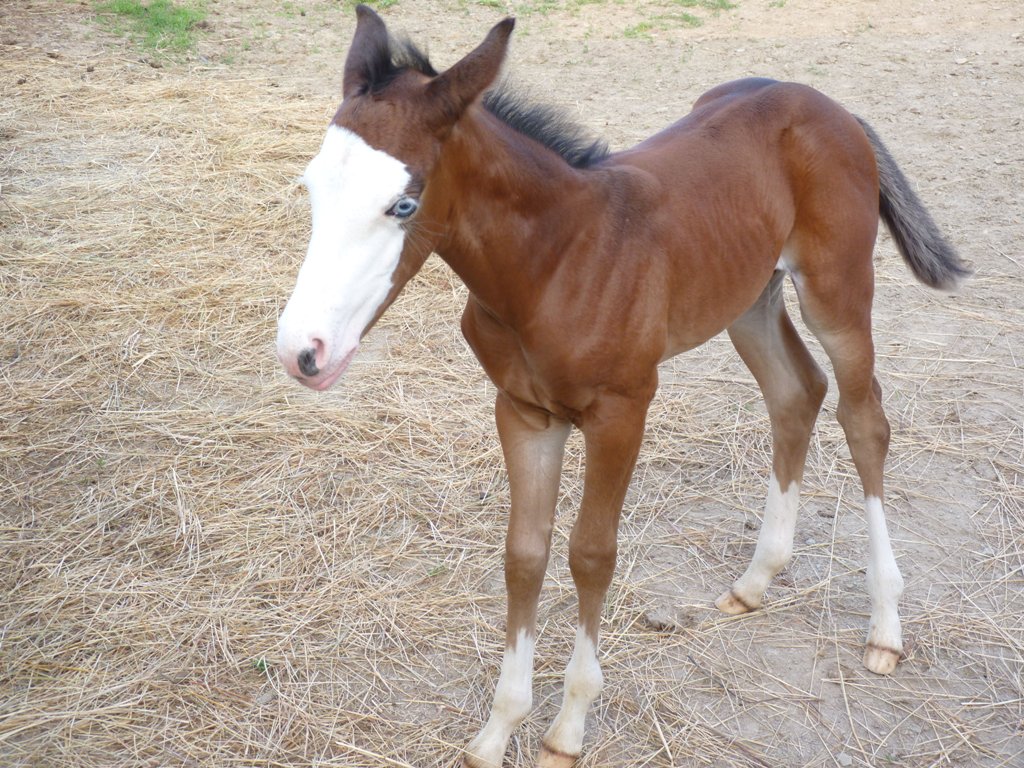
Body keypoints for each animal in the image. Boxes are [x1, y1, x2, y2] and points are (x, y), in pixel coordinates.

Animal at [274, 7, 966, 768]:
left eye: (403, 204)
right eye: (312, 189)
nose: (303, 351)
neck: (555, 263)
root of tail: (827, 104)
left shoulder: (622, 411)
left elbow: (591, 553)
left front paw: (567, 728)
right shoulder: (524, 411)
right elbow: (525, 554)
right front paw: (499, 728)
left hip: (836, 291)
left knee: (863, 417)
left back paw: (885, 627)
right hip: (748, 296)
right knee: (796, 393)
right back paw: (756, 581)